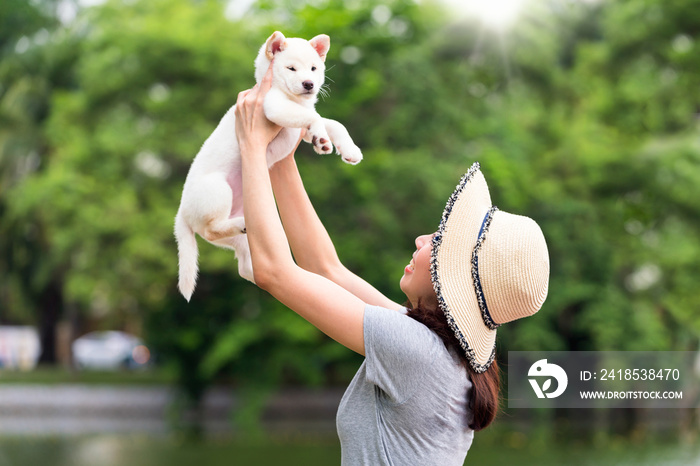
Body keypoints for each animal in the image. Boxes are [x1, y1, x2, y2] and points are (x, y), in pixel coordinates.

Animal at [174, 32, 364, 302]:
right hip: (218, 190)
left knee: (250, 267)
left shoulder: (299, 124)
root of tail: (181, 213)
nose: (309, 84)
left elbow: (335, 124)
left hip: (246, 236)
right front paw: (322, 137)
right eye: (291, 68)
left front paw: (345, 148)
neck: (292, 98)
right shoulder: (275, 108)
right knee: (212, 230)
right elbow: (316, 117)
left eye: (314, 68)